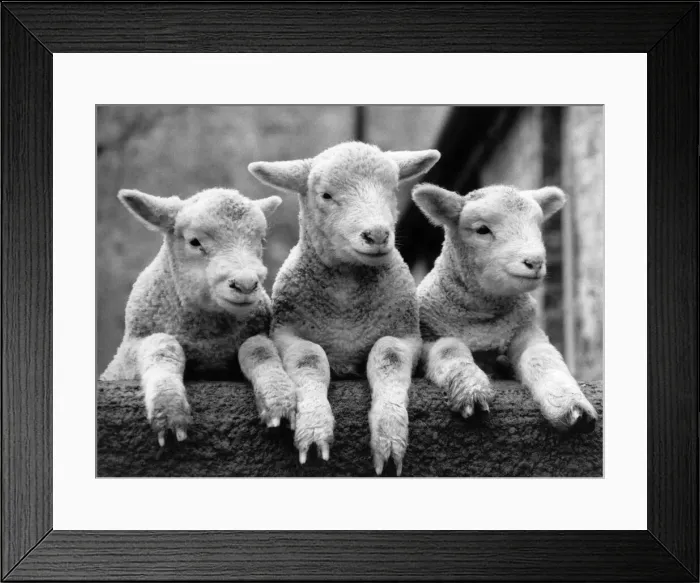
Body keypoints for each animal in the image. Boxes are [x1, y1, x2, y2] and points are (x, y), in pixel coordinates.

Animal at [101, 187, 297, 445]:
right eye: (194, 242)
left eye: (261, 240)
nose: (245, 285)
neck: (208, 344)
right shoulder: (129, 351)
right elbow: (163, 346)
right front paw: (169, 409)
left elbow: (258, 348)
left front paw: (278, 398)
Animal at [248, 141, 440, 474]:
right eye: (326, 195)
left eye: (392, 189)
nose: (377, 235)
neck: (346, 299)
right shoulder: (286, 333)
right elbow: (310, 358)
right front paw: (314, 429)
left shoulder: (406, 334)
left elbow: (388, 355)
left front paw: (389, 436)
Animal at [411, 183, 598, 432]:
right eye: (482, 229)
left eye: (538, 226)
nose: (535, 262)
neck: (483, 319)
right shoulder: (430, 337)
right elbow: (450, 350)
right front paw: (471, 392)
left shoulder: (525, 331)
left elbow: (543, 357)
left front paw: (572, 406)